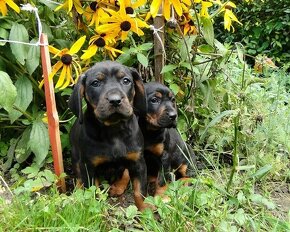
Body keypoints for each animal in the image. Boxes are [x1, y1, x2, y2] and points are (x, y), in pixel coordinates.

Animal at [68, 60, 150, 211]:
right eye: (95, 83)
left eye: (126, 80)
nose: (115, 100)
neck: (114, 130)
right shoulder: (89, 166)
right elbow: (93, 192)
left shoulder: (138, 161)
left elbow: (139, 191)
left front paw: (145, 210)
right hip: (75, 156)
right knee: (79, 176)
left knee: (125, 173)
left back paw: (117, 187)